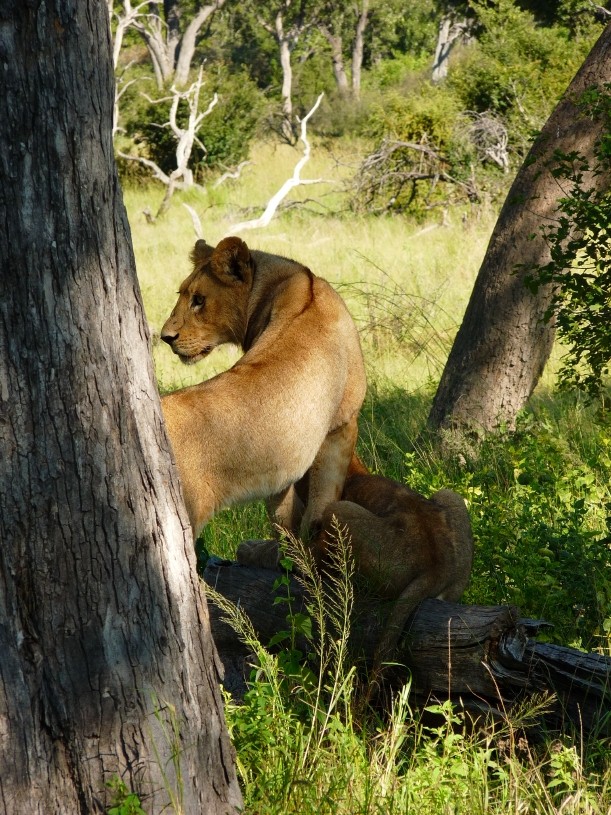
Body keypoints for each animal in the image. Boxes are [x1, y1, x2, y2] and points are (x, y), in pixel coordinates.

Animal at [160, 236, 367, 546]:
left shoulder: (294, 458)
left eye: (198, 300)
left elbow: (290, 516)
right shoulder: (341, 424)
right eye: (182, 294)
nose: (165, 337)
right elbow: (320, 502)